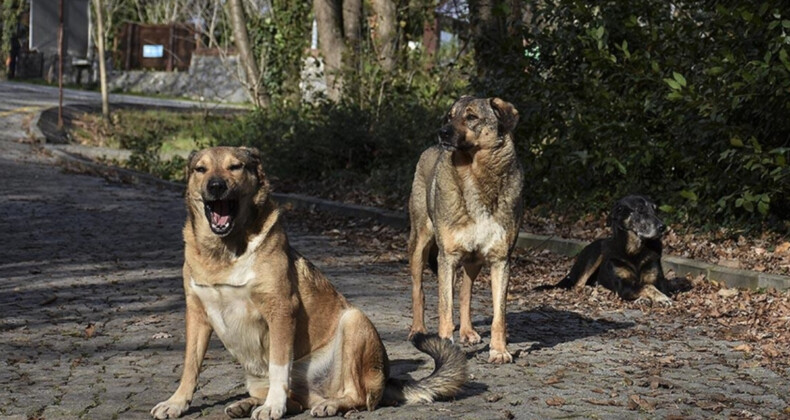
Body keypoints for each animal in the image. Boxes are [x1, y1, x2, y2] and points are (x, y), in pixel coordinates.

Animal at [151, 146, 468, 418]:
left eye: (235, 166)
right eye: (200, 169)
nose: (215, 186)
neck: (224, 253)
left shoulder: (280, 310)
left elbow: (279, 366)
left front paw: (273, 407)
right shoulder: (197, 313)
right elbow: (190, 366)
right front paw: (176, 403)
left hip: (354, 322)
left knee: (358, 397)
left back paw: (328, 405)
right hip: (255, 376)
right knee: (296, 401)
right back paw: (246, 404)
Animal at [408, 97, 524, 364]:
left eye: (471, 117)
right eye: (449, 116)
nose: (442, 132)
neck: (475, 175)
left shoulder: (501, 260)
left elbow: (498, 315)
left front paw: (499, 350)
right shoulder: (447, 258)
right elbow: (444, 308)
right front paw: (444, 347)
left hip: (473, 261)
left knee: (465, 292)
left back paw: (468, 331)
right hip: (420, 245)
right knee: (419, 290)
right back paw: (418, 330)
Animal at [540, 194, 676, 306]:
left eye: (656, 210)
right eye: (640, 210)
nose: (663, 227)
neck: (634, 250)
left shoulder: (659, 282)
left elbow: (649, 285)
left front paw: (650, 298)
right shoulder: (623, 285)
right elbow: (647, 287)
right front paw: (660, 298)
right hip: (596, 254)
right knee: (578, 285)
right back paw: (590, 289)